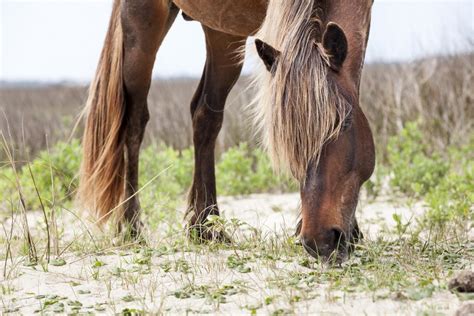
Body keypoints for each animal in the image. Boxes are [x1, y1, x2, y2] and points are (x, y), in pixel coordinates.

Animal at [78, 0, 376, 262]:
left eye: (345, 123)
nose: (320, 240)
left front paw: (351, 231)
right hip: (146, 25)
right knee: (135, 123)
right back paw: (132, 226)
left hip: (224, 29)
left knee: (204, 116)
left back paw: (205, 227)